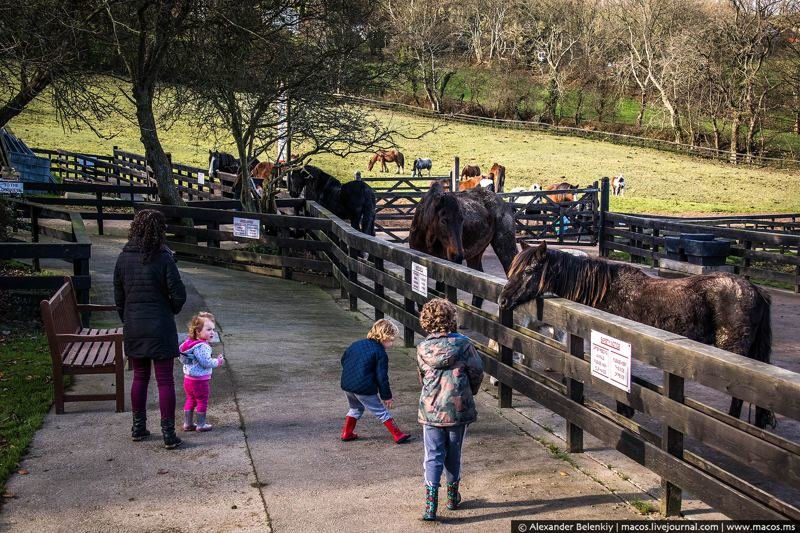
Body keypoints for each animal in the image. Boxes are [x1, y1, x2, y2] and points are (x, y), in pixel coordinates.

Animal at [500, 243, 776, 430]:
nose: (503, 300)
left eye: (530, 270)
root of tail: (756, 290)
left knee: (739, 397)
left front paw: (623, 414)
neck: (606, 290)